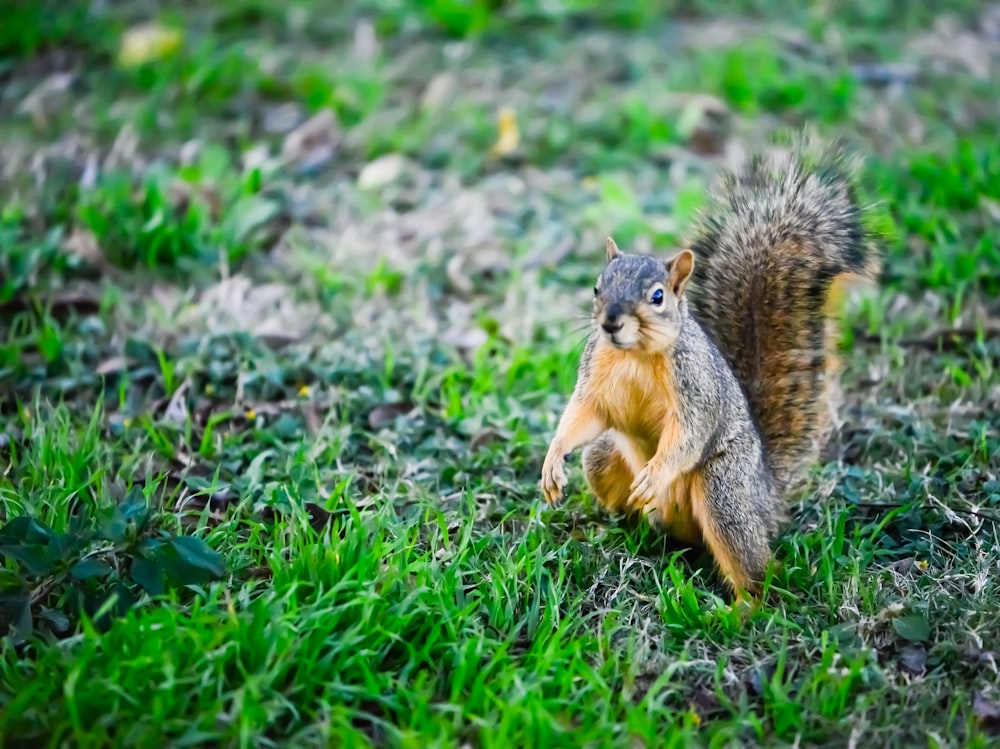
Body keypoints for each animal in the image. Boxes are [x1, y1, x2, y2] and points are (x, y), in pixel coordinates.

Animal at [544, 137, 880, 600]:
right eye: (597, 287)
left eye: (657, 296)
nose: (610, 322)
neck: (635, 354)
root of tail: (765, 493)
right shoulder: (595, 377)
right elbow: (583, 415)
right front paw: (553, 460)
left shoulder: (696, 389)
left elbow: (689, 434)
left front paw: (655, 474)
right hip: (603, 457)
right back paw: (617, 526)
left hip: (725, 490)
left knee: (759, 569)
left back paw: (742, 607)